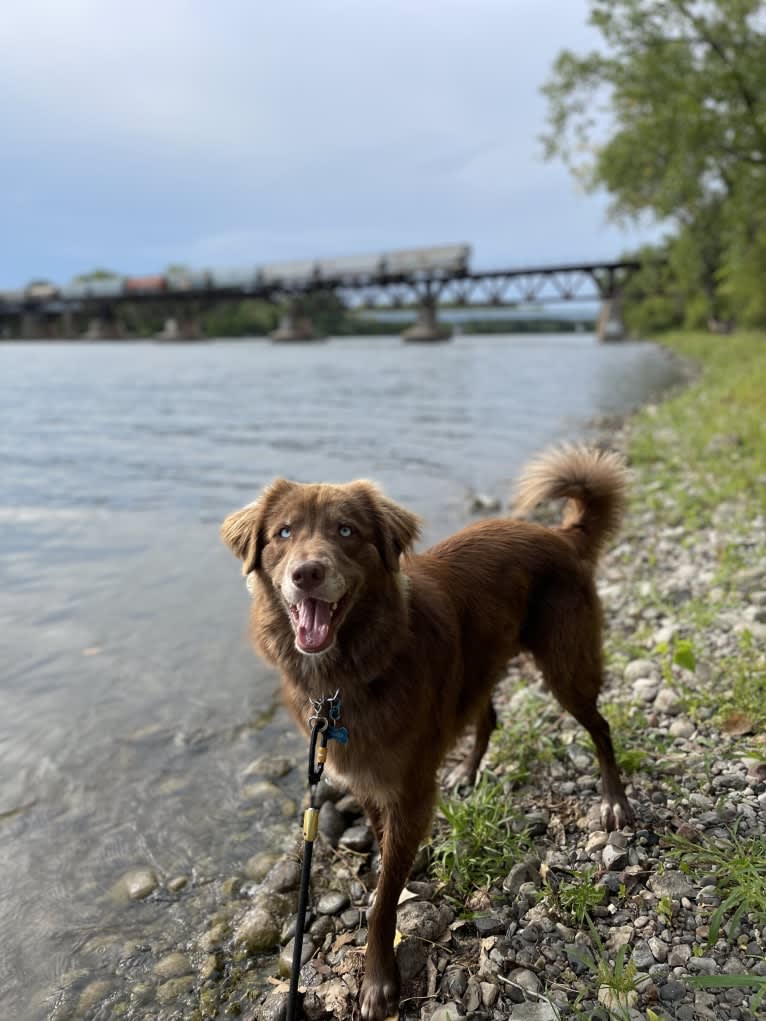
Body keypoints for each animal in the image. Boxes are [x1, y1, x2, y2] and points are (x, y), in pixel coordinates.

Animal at [221, 449, 637, 1021]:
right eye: (283, 532)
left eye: (346, 531)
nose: (307, 573)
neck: (347, 676)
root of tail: (559, 534)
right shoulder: (367, 779)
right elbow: (384, 854)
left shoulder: (410, 788)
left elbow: (381, 903)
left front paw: (378, 982)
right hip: (482, 662)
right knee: (488, 715)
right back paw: (468, 770)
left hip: (565, 667)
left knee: (600, 726)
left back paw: (613, 799)